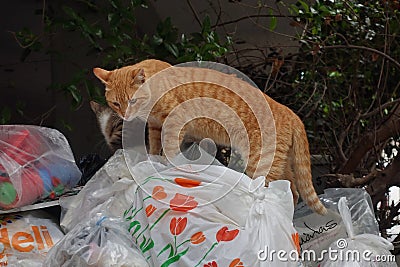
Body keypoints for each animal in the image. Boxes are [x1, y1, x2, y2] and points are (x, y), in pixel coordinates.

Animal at [94, 63, 328, 215]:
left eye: (132, 101)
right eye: (116, 104)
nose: (125, 115)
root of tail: (291, 113)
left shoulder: (175, 122)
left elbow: (169, 147)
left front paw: (168, 166)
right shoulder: (155, 126)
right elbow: (154, 146)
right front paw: (152, 161)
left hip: (261, 163)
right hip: (282, 165)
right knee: (292, 191)